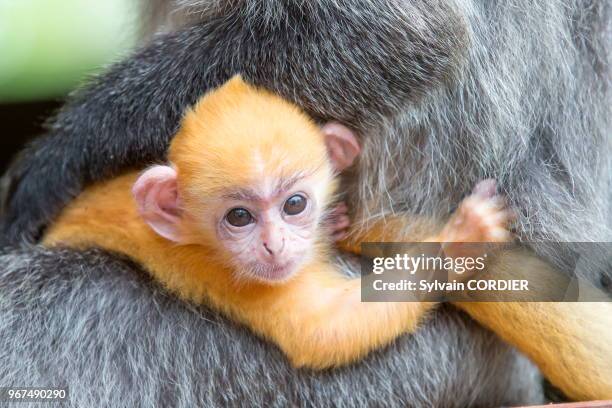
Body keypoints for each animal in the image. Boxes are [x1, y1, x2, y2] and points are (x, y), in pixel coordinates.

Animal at [43, 75, 512, 370]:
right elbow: (325, 330)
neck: (195, 239)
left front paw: (334, 223)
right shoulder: (229, 274)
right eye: (239, 217)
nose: (273, 245)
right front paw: (459, 241)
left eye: (294, 205)